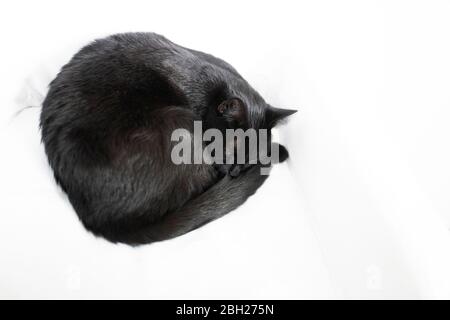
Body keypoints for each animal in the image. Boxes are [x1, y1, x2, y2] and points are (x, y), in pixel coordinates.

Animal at [40, 32, 298, 245]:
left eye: (246, 161)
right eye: (230, 154)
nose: (235, 171)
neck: (209, 92)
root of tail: (98, 221)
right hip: (178, 122)